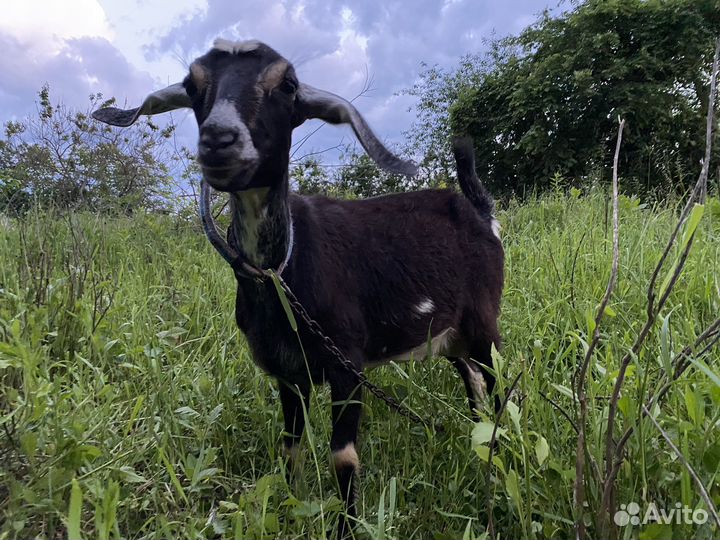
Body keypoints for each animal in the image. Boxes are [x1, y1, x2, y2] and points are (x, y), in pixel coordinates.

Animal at [92, 39, 504, 538]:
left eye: (287, 85)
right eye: (193, 86)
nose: (219, 140)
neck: (280, 273)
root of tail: (480, 213)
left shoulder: (348, 366)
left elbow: (344, 458)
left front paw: (346, 526)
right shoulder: (288, 374)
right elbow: (291, 448)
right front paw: (293, 506)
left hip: (483, 322)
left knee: (501, 385)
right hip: (448, 337)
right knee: (474, 383)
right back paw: (477, 445)